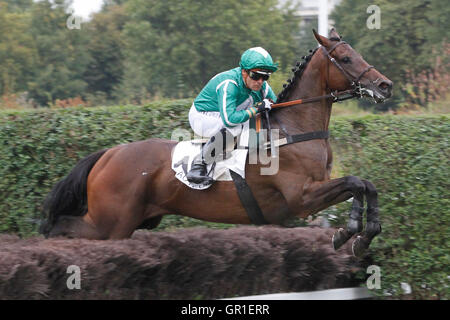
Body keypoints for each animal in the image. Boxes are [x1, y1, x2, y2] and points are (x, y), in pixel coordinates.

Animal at [40, 28, 392, 256]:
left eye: (357, 53)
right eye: (345, 58)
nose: (384, 85)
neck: (293, 129)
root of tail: (107, 154)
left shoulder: (316, 190)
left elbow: (365, 184)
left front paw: (361, 235)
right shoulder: (301, 198)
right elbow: (354, 182)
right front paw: (348, 232)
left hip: (133, 221)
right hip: (110, 223)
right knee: (64, 226)